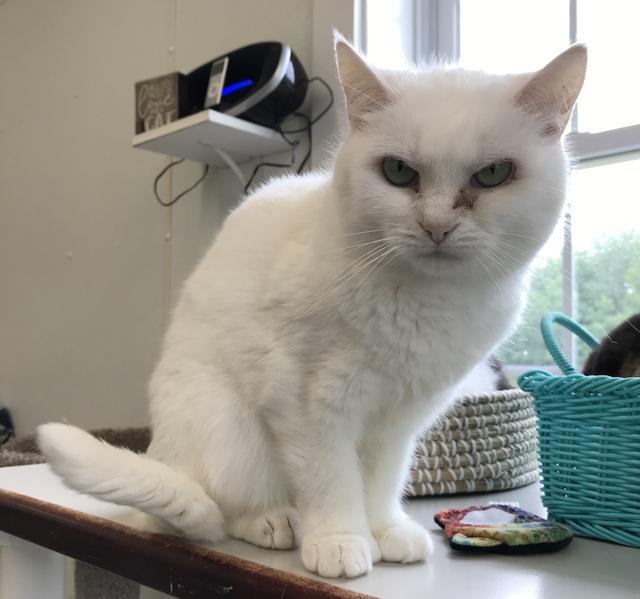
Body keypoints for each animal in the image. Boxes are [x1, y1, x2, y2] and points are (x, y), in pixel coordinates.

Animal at [36, 35, 584, 580]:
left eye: (492, 174)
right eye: (398, 172)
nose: (436, 226)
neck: (426, 303)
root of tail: (164, 456)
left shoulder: (400, 418)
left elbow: (381, 480)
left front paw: (383, 531)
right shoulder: (306, 403)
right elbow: (331, 481)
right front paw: (341, 542)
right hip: (228, 430)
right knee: (220, 511)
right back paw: (276, 522)